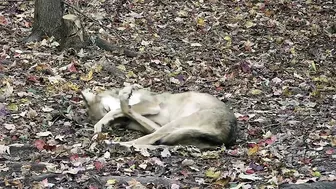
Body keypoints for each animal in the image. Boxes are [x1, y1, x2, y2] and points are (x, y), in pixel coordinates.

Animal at [81, 85, 238, 149]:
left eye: (106, 108)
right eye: (117, 123)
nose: (123, 122)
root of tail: (228, 136)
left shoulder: (152, 105)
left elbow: (119, 109)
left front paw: (100, 124)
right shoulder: (153, 124)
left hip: (177, 123)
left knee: (145, 140)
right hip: (174, 127)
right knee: (148, 140)